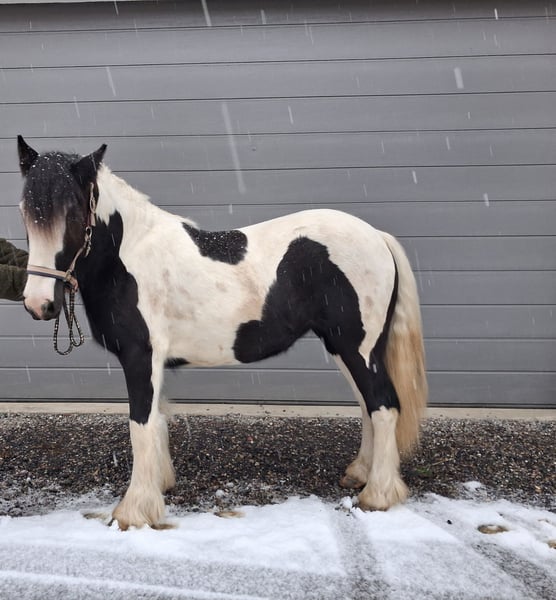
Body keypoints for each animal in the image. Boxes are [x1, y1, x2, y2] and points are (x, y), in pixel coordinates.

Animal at [17, 135, 428, 530]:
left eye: (73, 212)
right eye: (24, 212)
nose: (39, 304)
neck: (127, 257)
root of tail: (376, 236)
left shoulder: (139, 356)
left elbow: (141, 425)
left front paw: (134, 512)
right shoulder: (155, 362)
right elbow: (158, 419)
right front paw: (160, 486)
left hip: (356, 345)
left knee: (383, 405)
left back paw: (378, 494)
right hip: (347, 345)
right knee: (367, 405)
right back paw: (360, 474)